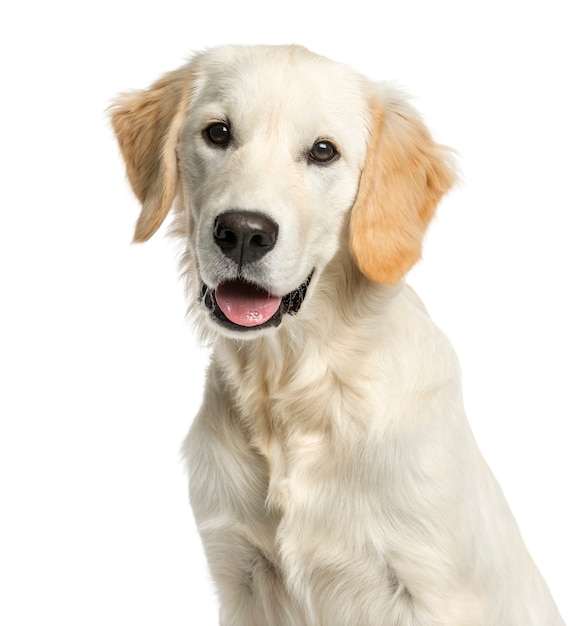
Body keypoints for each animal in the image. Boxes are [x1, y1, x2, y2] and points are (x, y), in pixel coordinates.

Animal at [111, 44, 564, 624]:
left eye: (323, 151)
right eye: (217, 133)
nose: (243, 232)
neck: (300, 387)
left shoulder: (432, 585)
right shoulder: (240, 574)